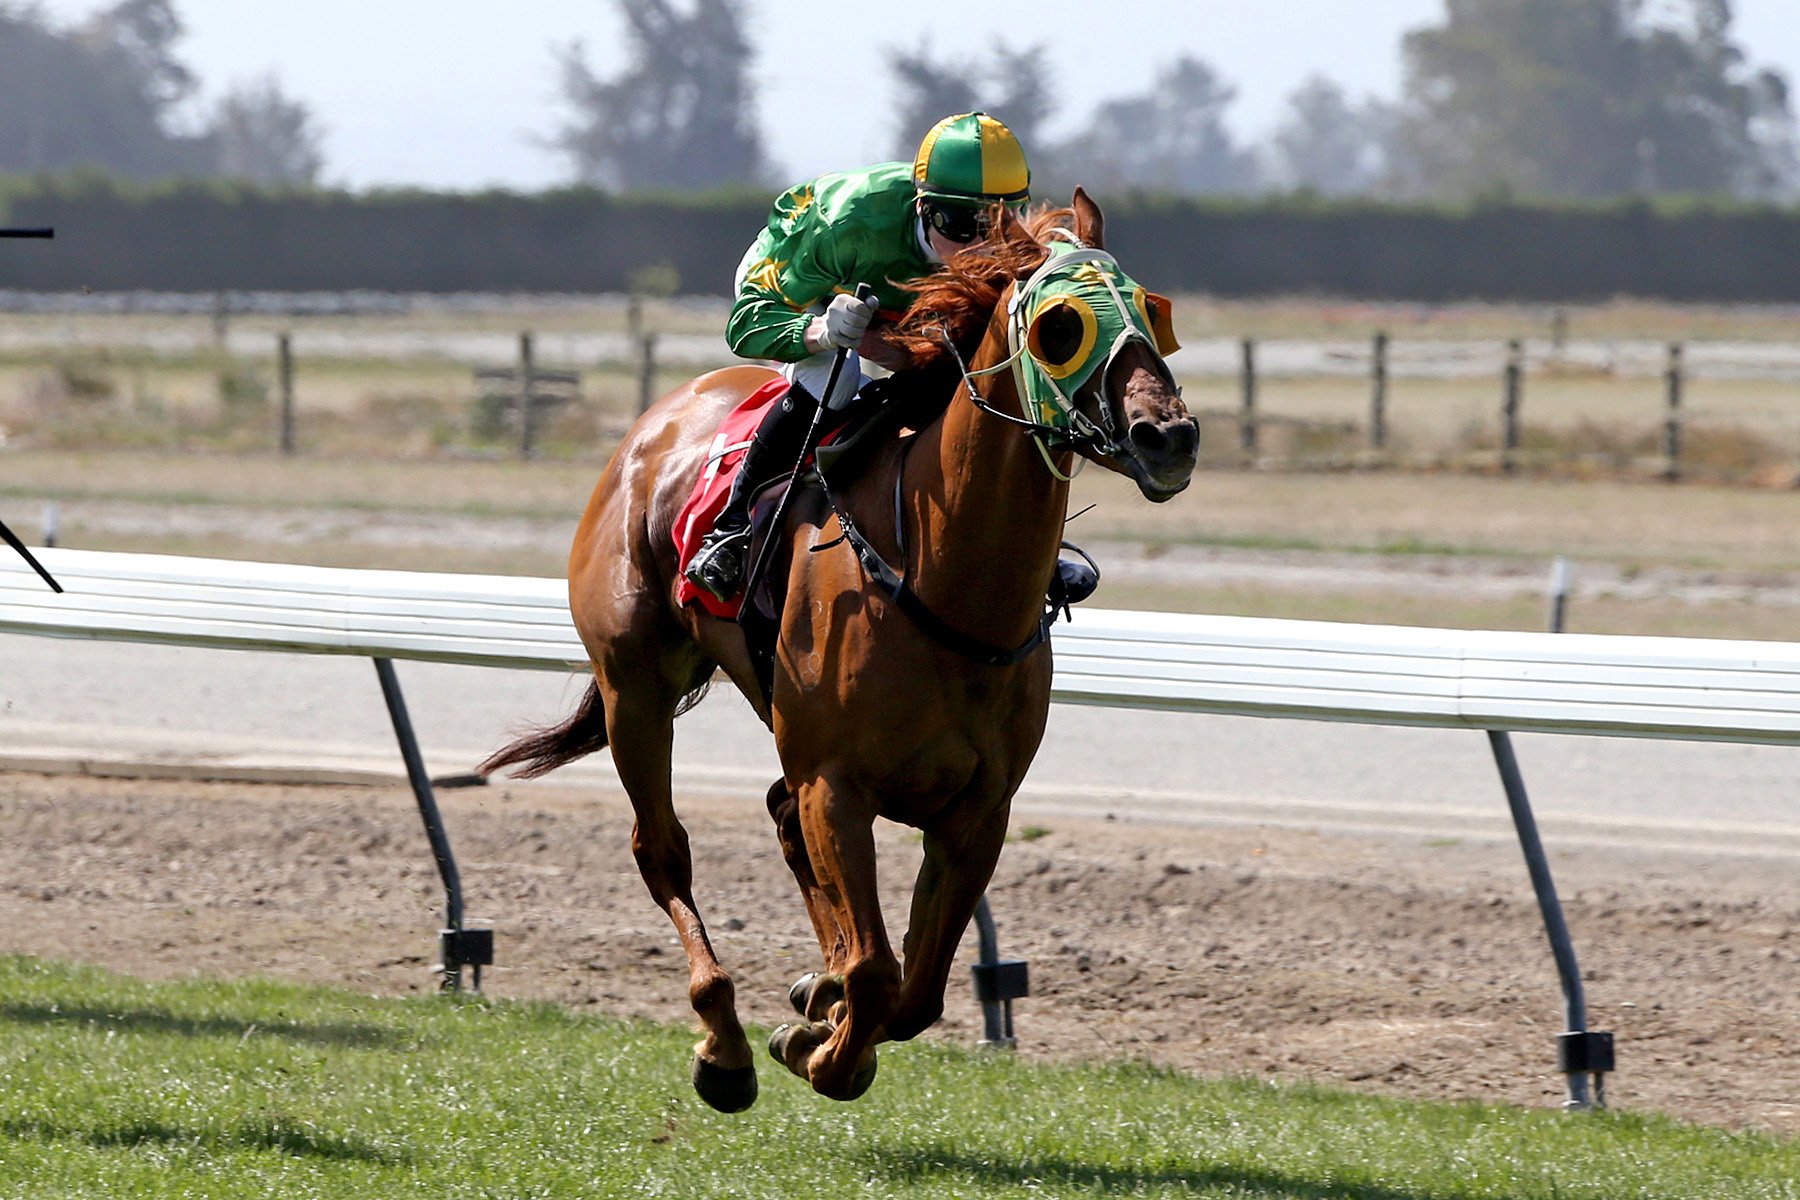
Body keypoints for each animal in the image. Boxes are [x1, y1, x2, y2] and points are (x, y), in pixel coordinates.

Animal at [486, 183, 1202, 1115]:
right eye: (1061, 324)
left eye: (1153, 310)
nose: (1169, 436)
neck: (944, 578)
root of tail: (657, 419)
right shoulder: (839, 784)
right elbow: (875, 972)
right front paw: (818, 1049)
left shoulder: (980, 809)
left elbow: (916, 990)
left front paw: (820, 1021)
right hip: (635, 688)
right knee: (663, 848)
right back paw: (724, 1042)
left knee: (781, 819)